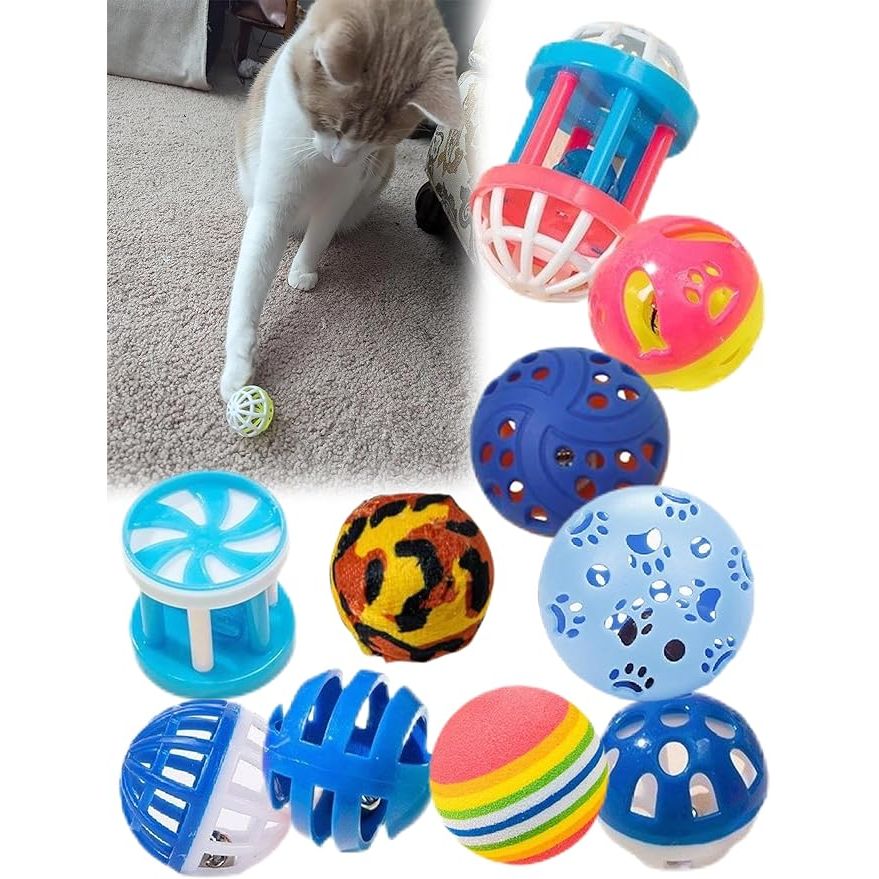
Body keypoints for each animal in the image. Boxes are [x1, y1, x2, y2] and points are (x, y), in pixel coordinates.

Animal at [221, 0, 463, 400]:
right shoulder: (274, 204)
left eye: (378, 139)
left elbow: (318, 237)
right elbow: (250, 284)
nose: (340, 159)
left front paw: (302, 270)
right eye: (331, 124)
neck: (318, 160)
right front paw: (237, 365)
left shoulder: (341, 195)